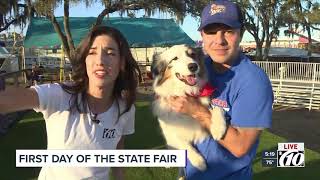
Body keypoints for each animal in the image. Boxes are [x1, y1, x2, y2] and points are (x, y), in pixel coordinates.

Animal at [151, 44, 226, 173]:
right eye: (175, 58)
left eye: (192, 55)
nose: (193, 66)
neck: (185, 91)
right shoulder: (169, 130)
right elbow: (183, 143)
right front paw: (199, 162)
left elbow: (217, 108)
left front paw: (218, 129)